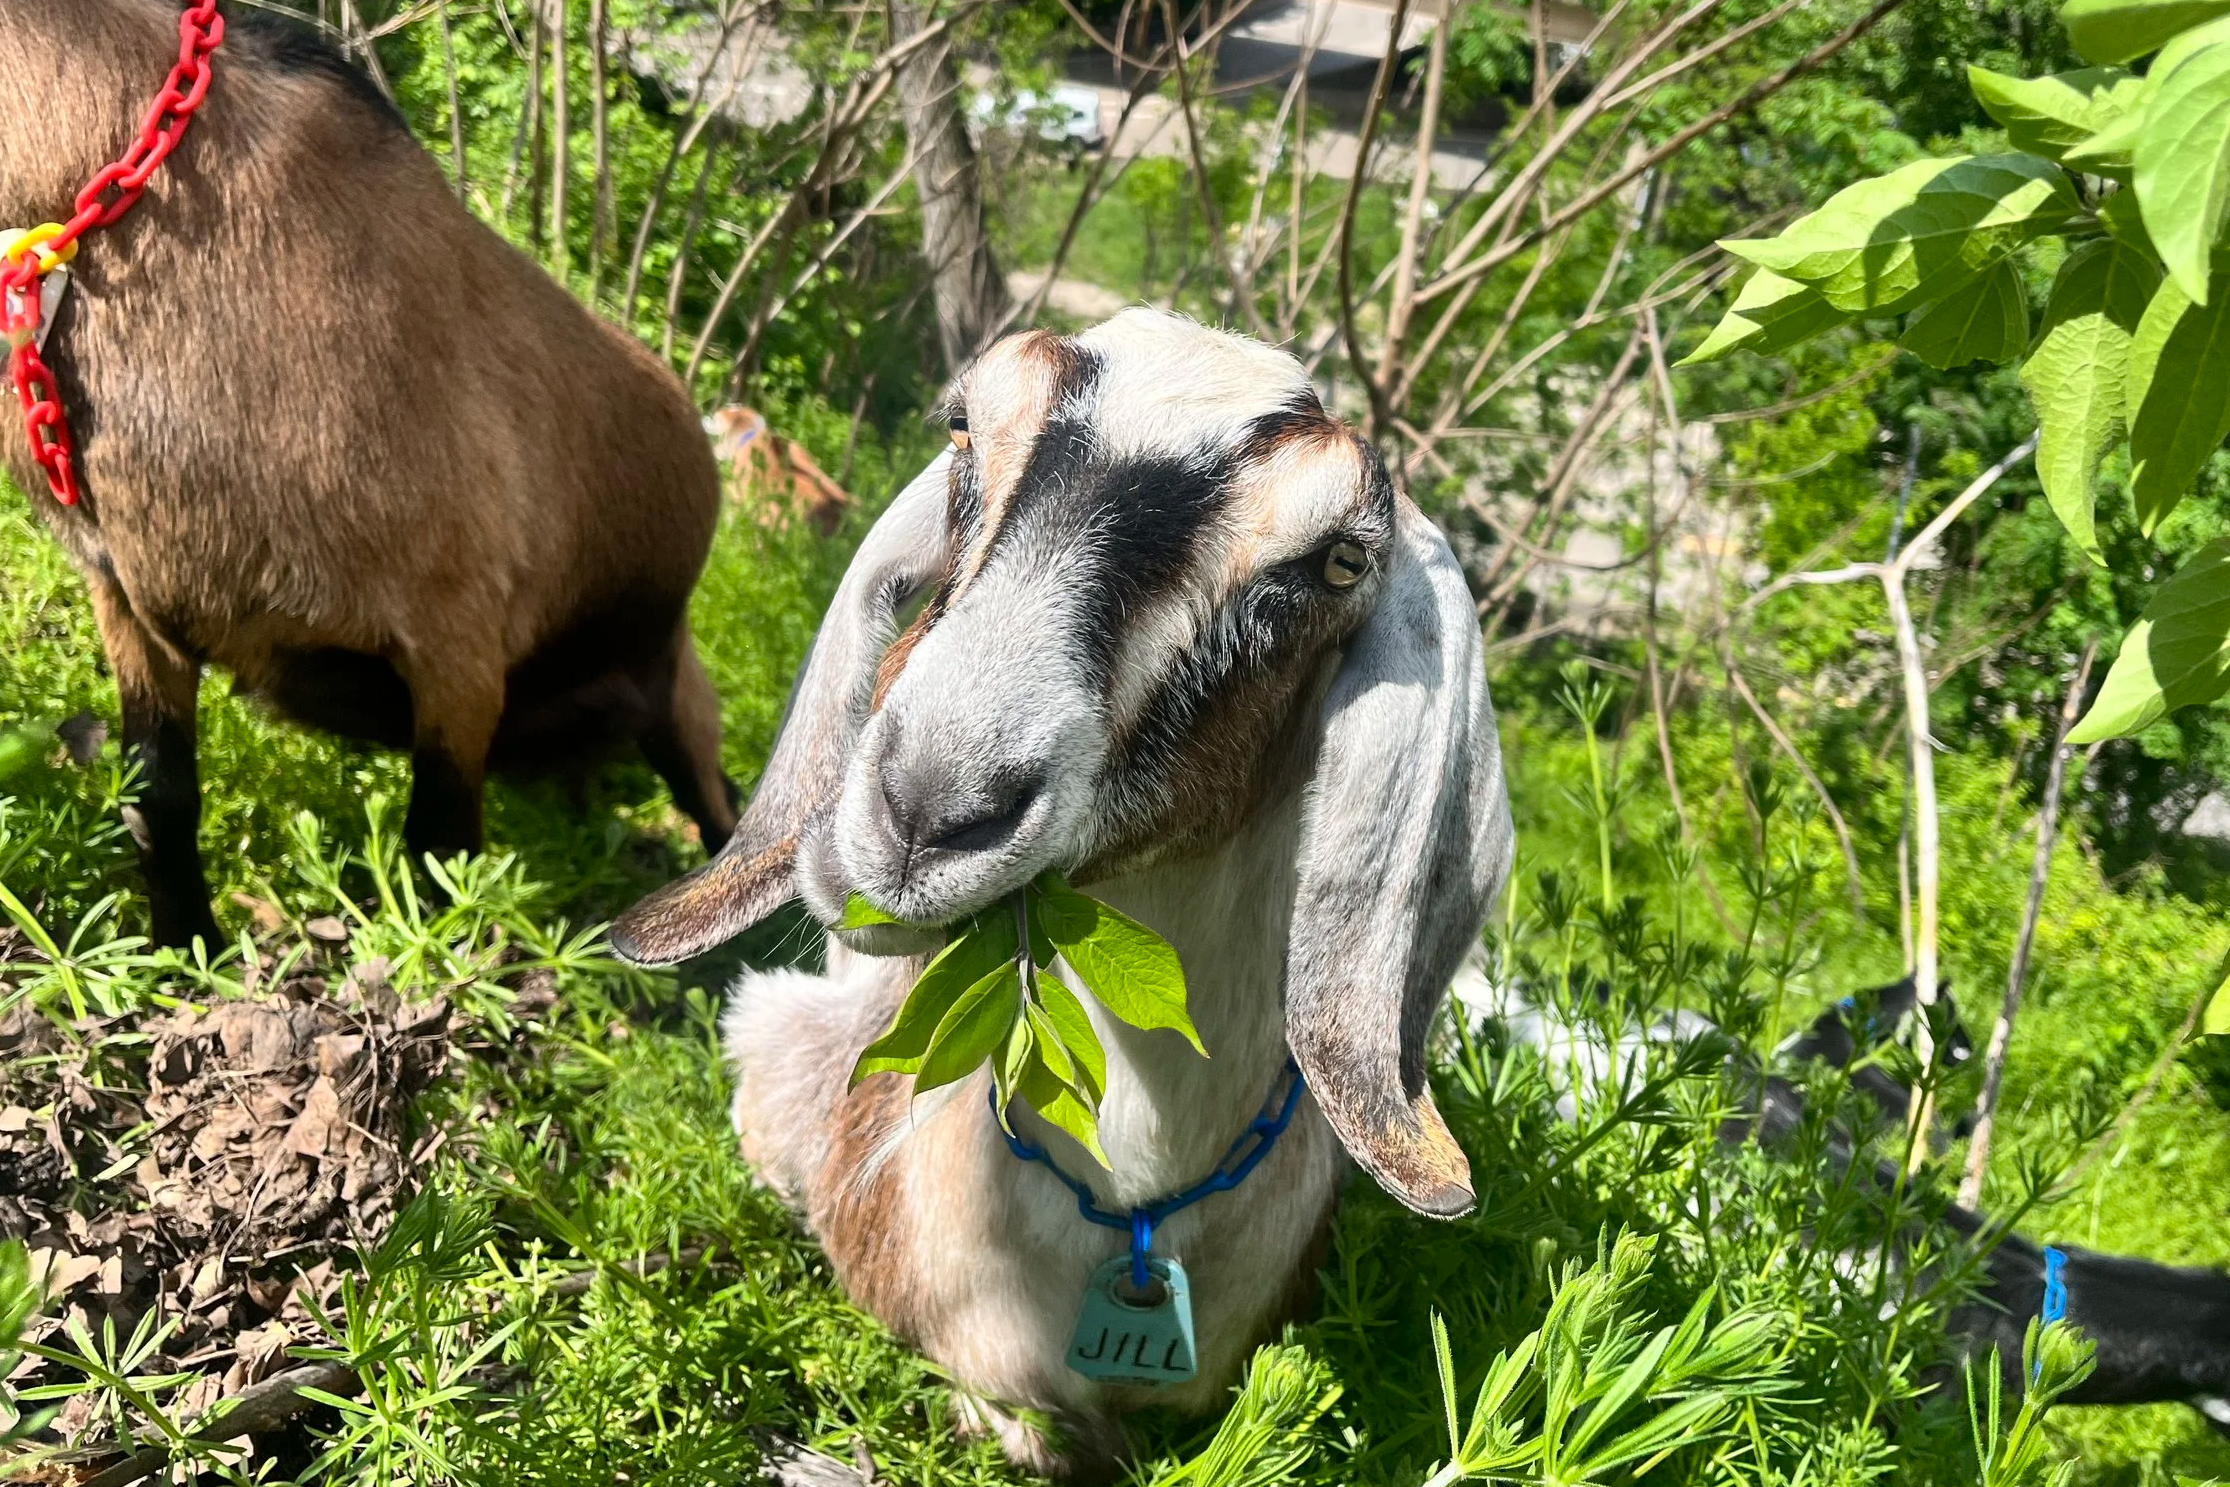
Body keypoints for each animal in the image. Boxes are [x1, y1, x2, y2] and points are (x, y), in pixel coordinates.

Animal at [0, 0, 739, 947]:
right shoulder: (126, 596)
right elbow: (156, 799)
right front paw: (187, 952)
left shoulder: (457, 640)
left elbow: (440, 850)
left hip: (677, 688)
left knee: (729, 818)